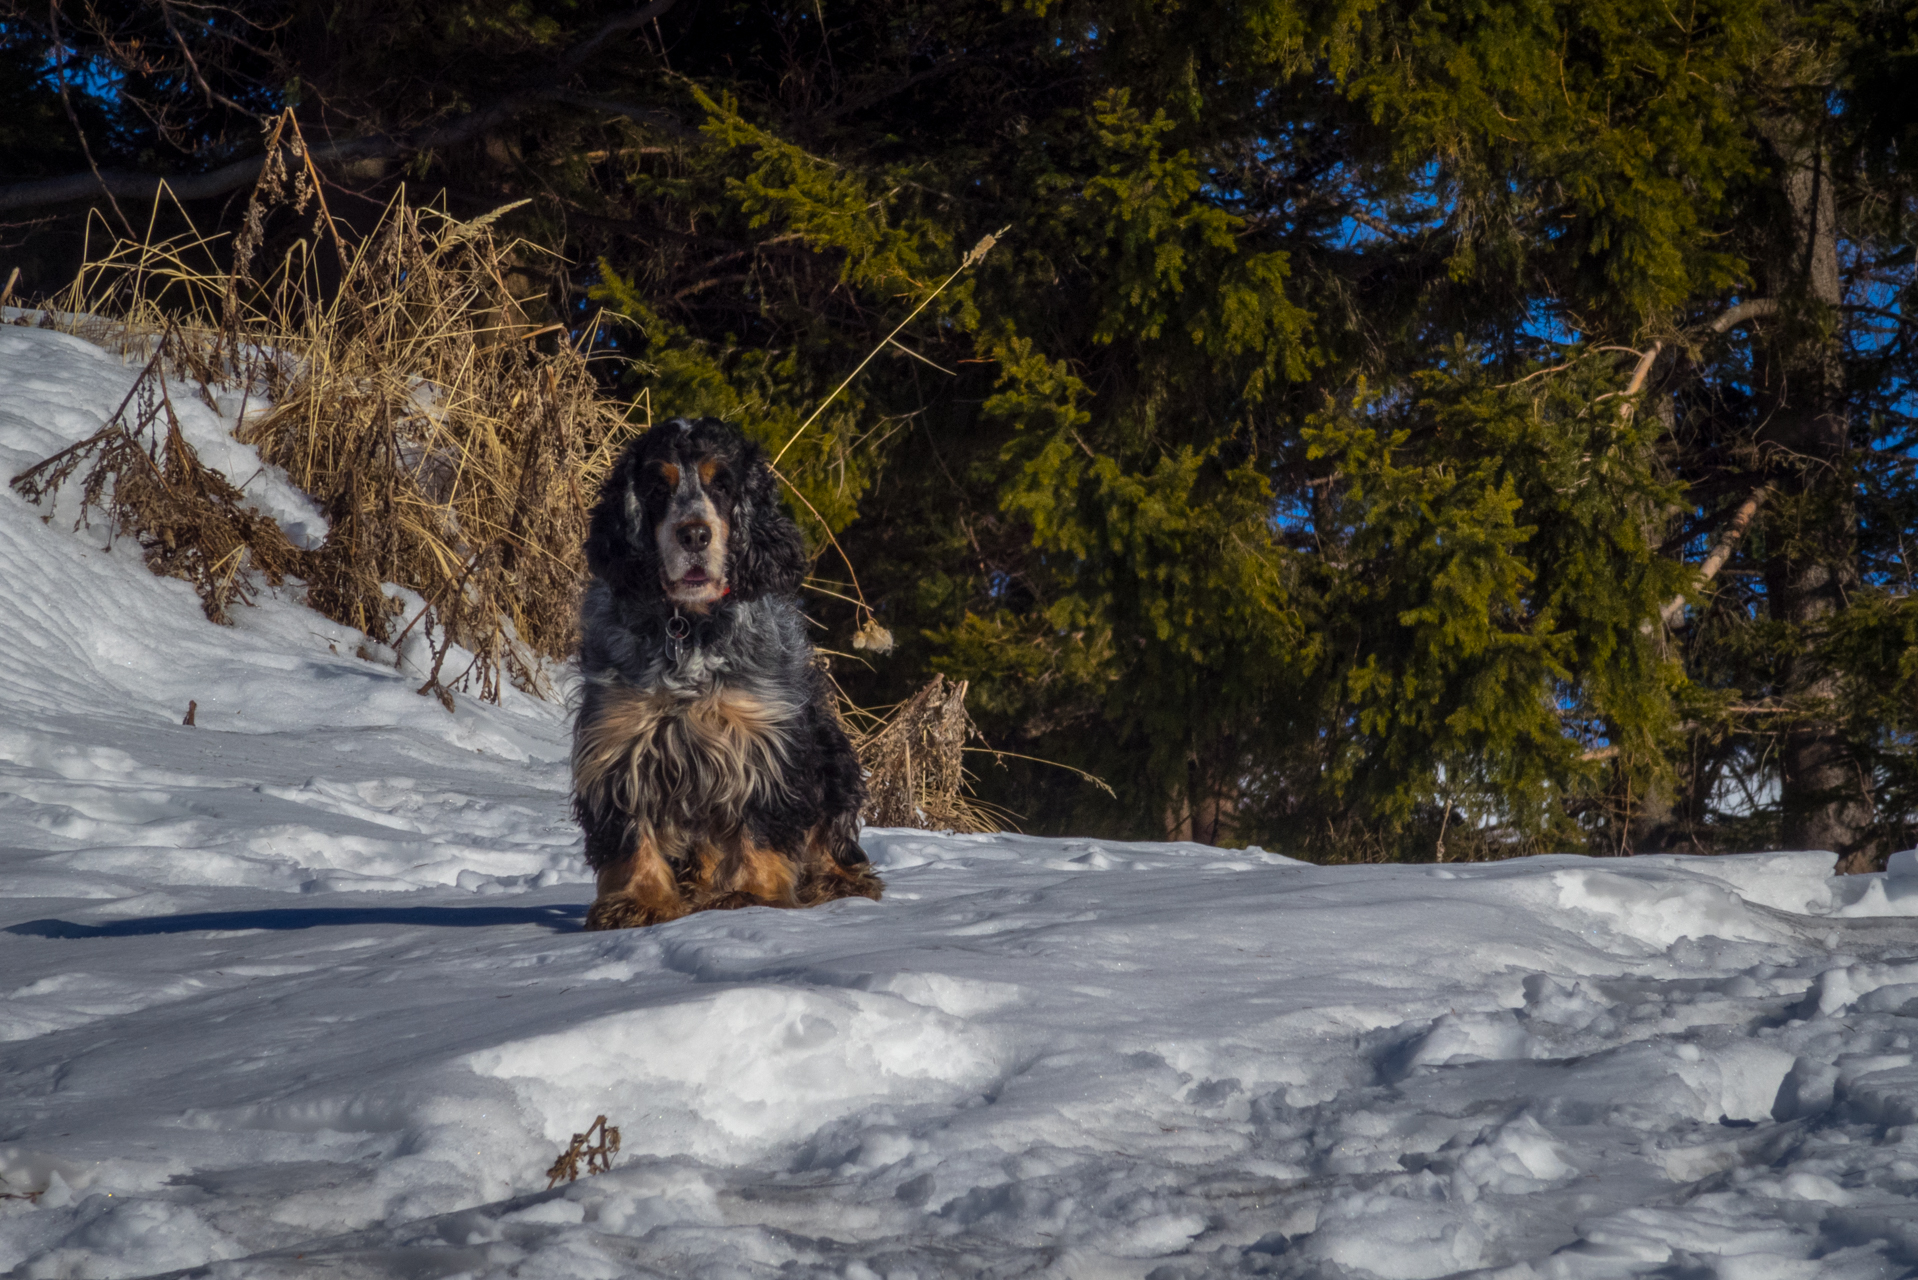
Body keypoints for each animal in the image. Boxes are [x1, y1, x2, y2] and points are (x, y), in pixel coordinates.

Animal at [560, 420, 878, 932]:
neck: (687, 628)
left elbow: (760, 826)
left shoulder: (762, 736)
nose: (693, 535)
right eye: (657, 488)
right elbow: (630, 834)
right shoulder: (619, 741)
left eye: (723, 485)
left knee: (832, 837)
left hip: (831, 753)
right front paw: (637, 902)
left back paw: (837, 882)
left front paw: (752, 895)